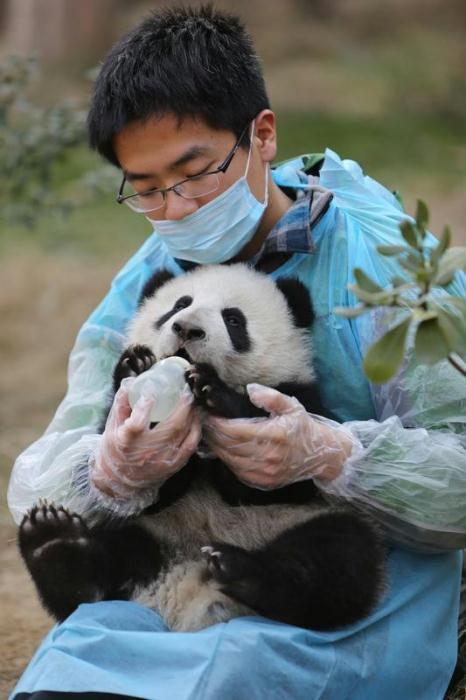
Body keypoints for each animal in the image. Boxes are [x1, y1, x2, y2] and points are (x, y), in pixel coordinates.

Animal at [19, 264, 386, 636]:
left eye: (234, 319)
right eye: (180, 304)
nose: (187, 329)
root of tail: (183, 590)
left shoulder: (300, 402)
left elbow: (284, 481)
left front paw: (220, 396)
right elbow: (144, 484)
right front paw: (136, 367)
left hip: (303, 521)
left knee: (333, 563)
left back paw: (238, 569)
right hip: (148, 530)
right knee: (112, 555)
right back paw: (55, 546)